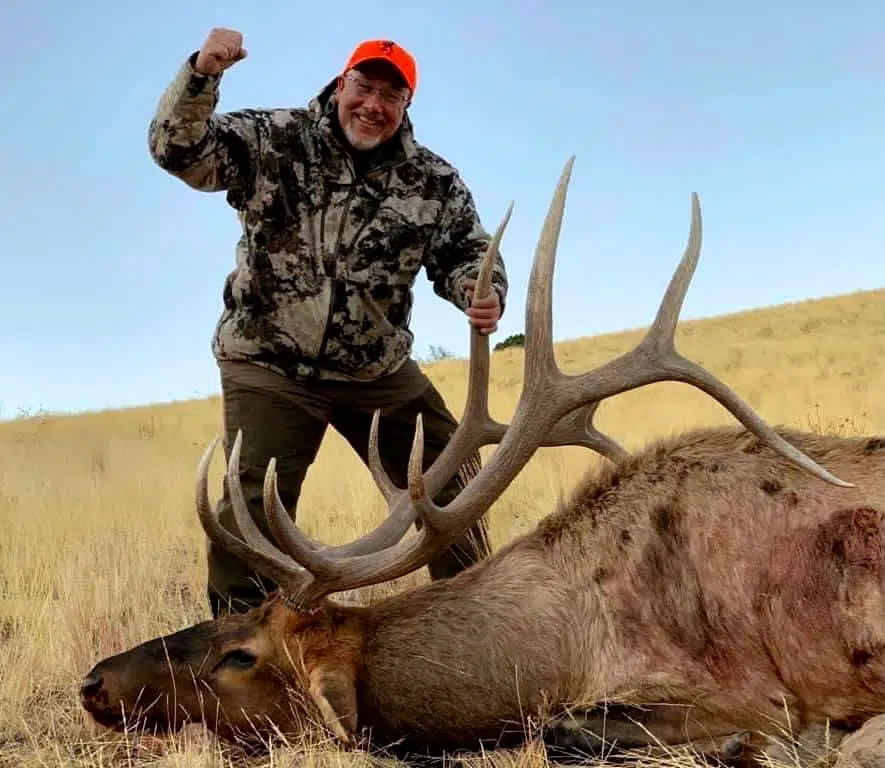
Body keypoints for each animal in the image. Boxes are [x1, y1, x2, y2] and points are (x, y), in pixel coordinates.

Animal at [79, 156, 885, 765]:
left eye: (240, 655)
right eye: (227, 614)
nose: (93, 682)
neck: (568, 640)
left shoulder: (749, 692)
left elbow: (564, 731)